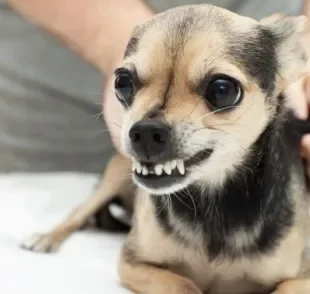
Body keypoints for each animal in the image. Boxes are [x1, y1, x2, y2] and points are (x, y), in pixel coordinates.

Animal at [21, 4, 310, 294]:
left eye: (222, 90)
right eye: (122, 83)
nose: (146, 132)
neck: (212, 202)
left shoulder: (301, 279)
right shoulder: (134, 262)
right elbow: (184, 285)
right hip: (115, 176)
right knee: (80, 210)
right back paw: (47, 237)